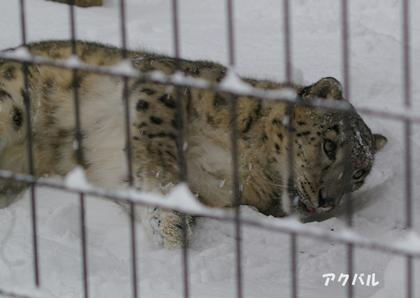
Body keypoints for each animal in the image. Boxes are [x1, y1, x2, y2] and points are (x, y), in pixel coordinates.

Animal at [0, 40, 388, 249]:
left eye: (359, 175)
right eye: (329, 145)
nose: (327, 201)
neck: (248, 163)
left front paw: (168, 227)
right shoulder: (160, 85)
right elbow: (159, 156)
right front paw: (174, 234)